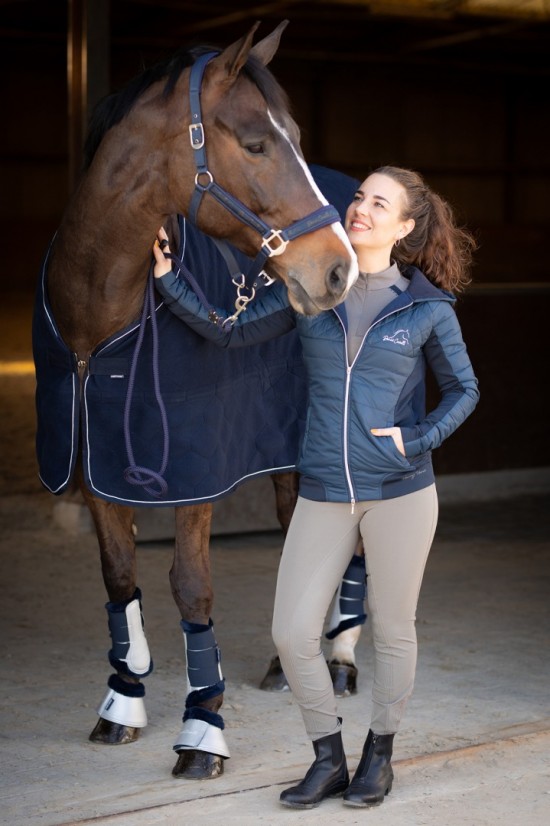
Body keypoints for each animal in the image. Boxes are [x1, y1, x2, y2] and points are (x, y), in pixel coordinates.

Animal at [32, 21, 358, 781]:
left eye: (296, 135)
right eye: (258, 142)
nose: (338, 269)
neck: (102, 314)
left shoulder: (194, 476)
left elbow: (191, 587)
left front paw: (202, 729)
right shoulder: (95, 464)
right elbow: (120, 575)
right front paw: (123, 700)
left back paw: (339, 659)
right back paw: (290, 663)